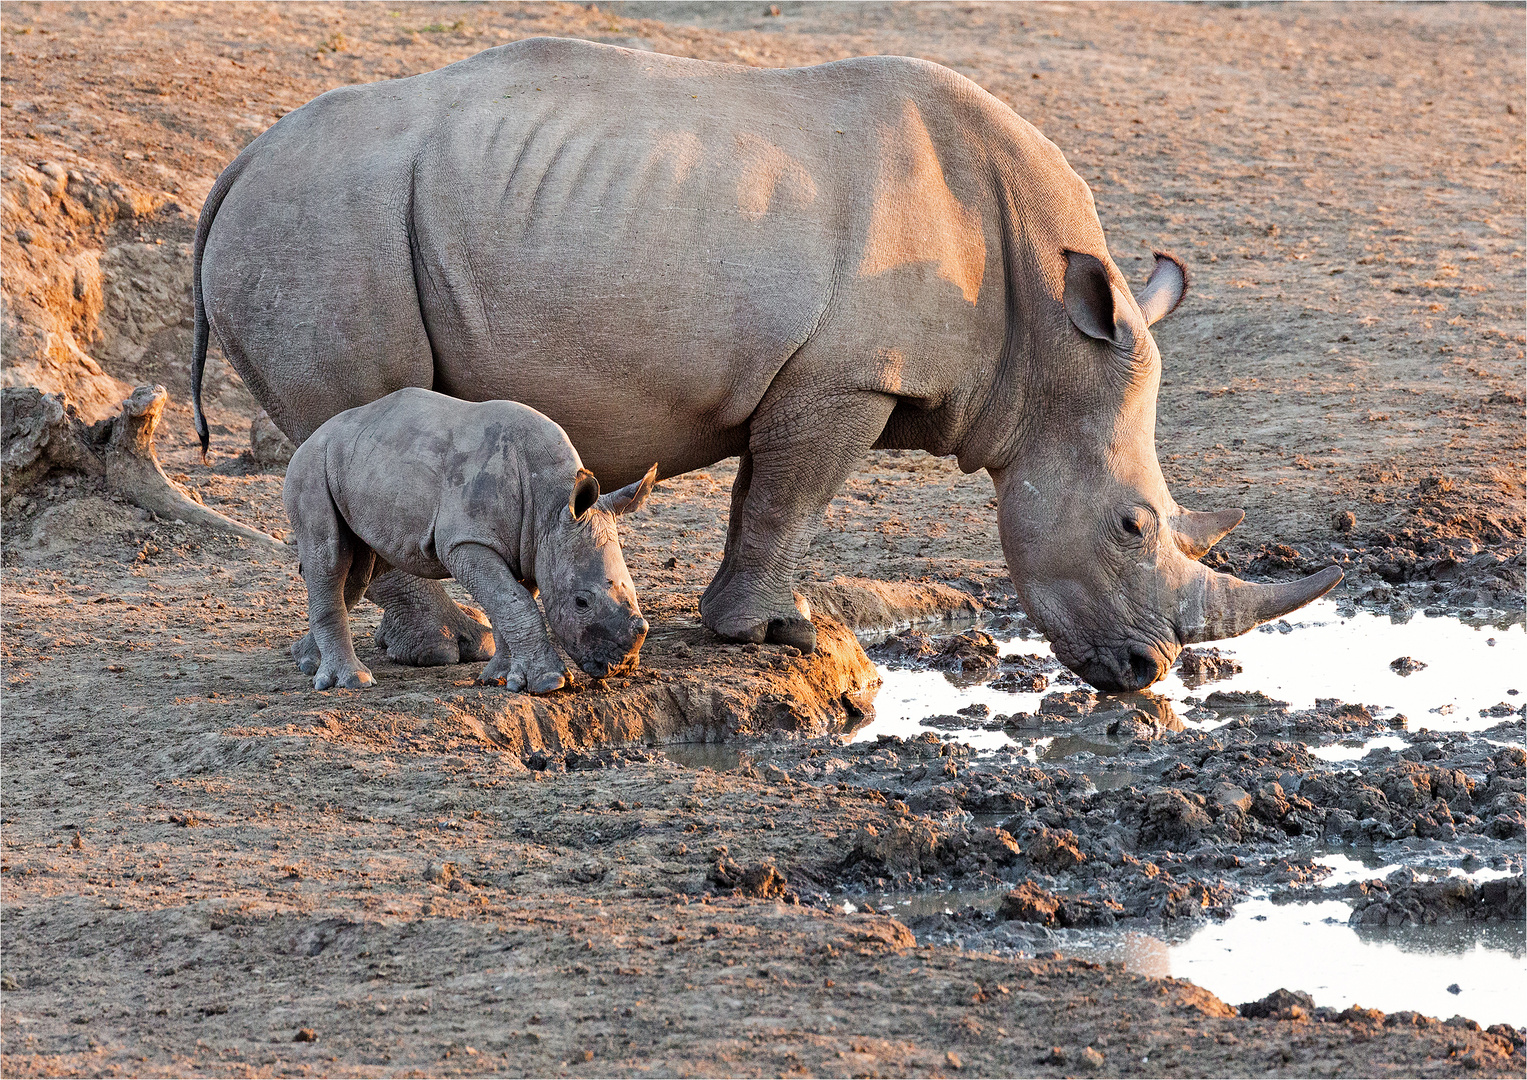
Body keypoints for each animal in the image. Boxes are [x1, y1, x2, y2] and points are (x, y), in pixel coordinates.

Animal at [284, 388, 653, 693]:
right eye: (581, 602)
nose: (620, 667)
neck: (553, 505)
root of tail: (311, 438)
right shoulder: (468, 542)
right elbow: (514, 602)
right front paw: (550, 684)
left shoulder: (531, 545)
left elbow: (510, 601)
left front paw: (501, 678)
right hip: (311, 467)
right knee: (331, 558)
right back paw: (352, 681)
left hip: (357, 465)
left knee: (357, 570)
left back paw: (308, 663)